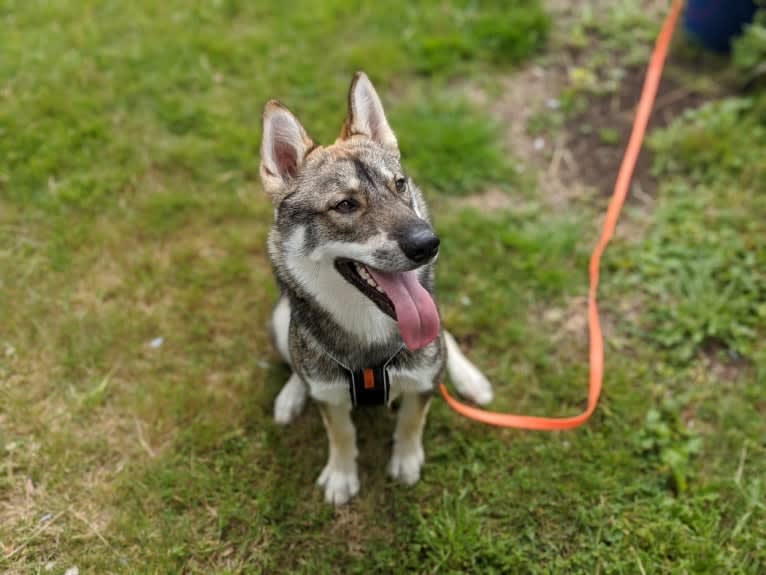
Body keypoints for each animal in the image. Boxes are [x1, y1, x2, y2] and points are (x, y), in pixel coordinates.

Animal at [260, 71, 496, 504]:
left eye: (399, 185)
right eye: (346, 205)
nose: (428, 244)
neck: (369, 338)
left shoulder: (423, 380)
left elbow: (411, 421)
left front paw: (406, 462)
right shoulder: (328, 393)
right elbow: (340, 433)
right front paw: (341, 475)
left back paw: (470, 379)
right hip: (280, 317)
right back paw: (291, 394)